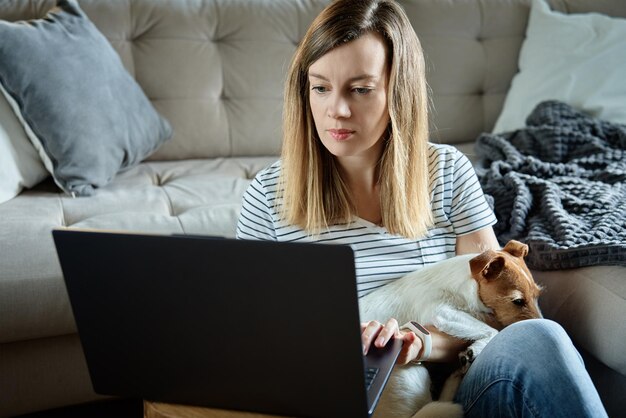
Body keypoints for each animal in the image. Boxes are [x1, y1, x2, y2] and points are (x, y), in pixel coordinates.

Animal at [358, 240, 544, 416]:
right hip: (410, 376)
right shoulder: (439, 311)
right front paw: (476, 349)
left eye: (537, 295)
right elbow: (493, 330)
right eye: (518, 301)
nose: (543, 323)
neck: (462, 286)